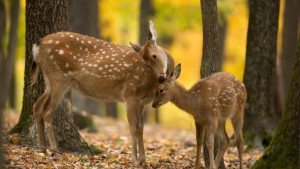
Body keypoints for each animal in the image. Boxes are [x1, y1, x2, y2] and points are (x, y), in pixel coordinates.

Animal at [31, 20, 175, 164]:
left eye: (154, 56)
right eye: (145, 62)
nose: (161, 77)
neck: (150, 86)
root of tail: (37, 45)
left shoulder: (142, 102)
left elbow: (141, 128)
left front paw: (143, 161)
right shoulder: (130, 95)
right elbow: (133, 128)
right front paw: (135, 160)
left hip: (50, 81)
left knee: (37, 106)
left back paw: (42, 150)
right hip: (59, 77)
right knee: (48, 112)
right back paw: (55, 151)